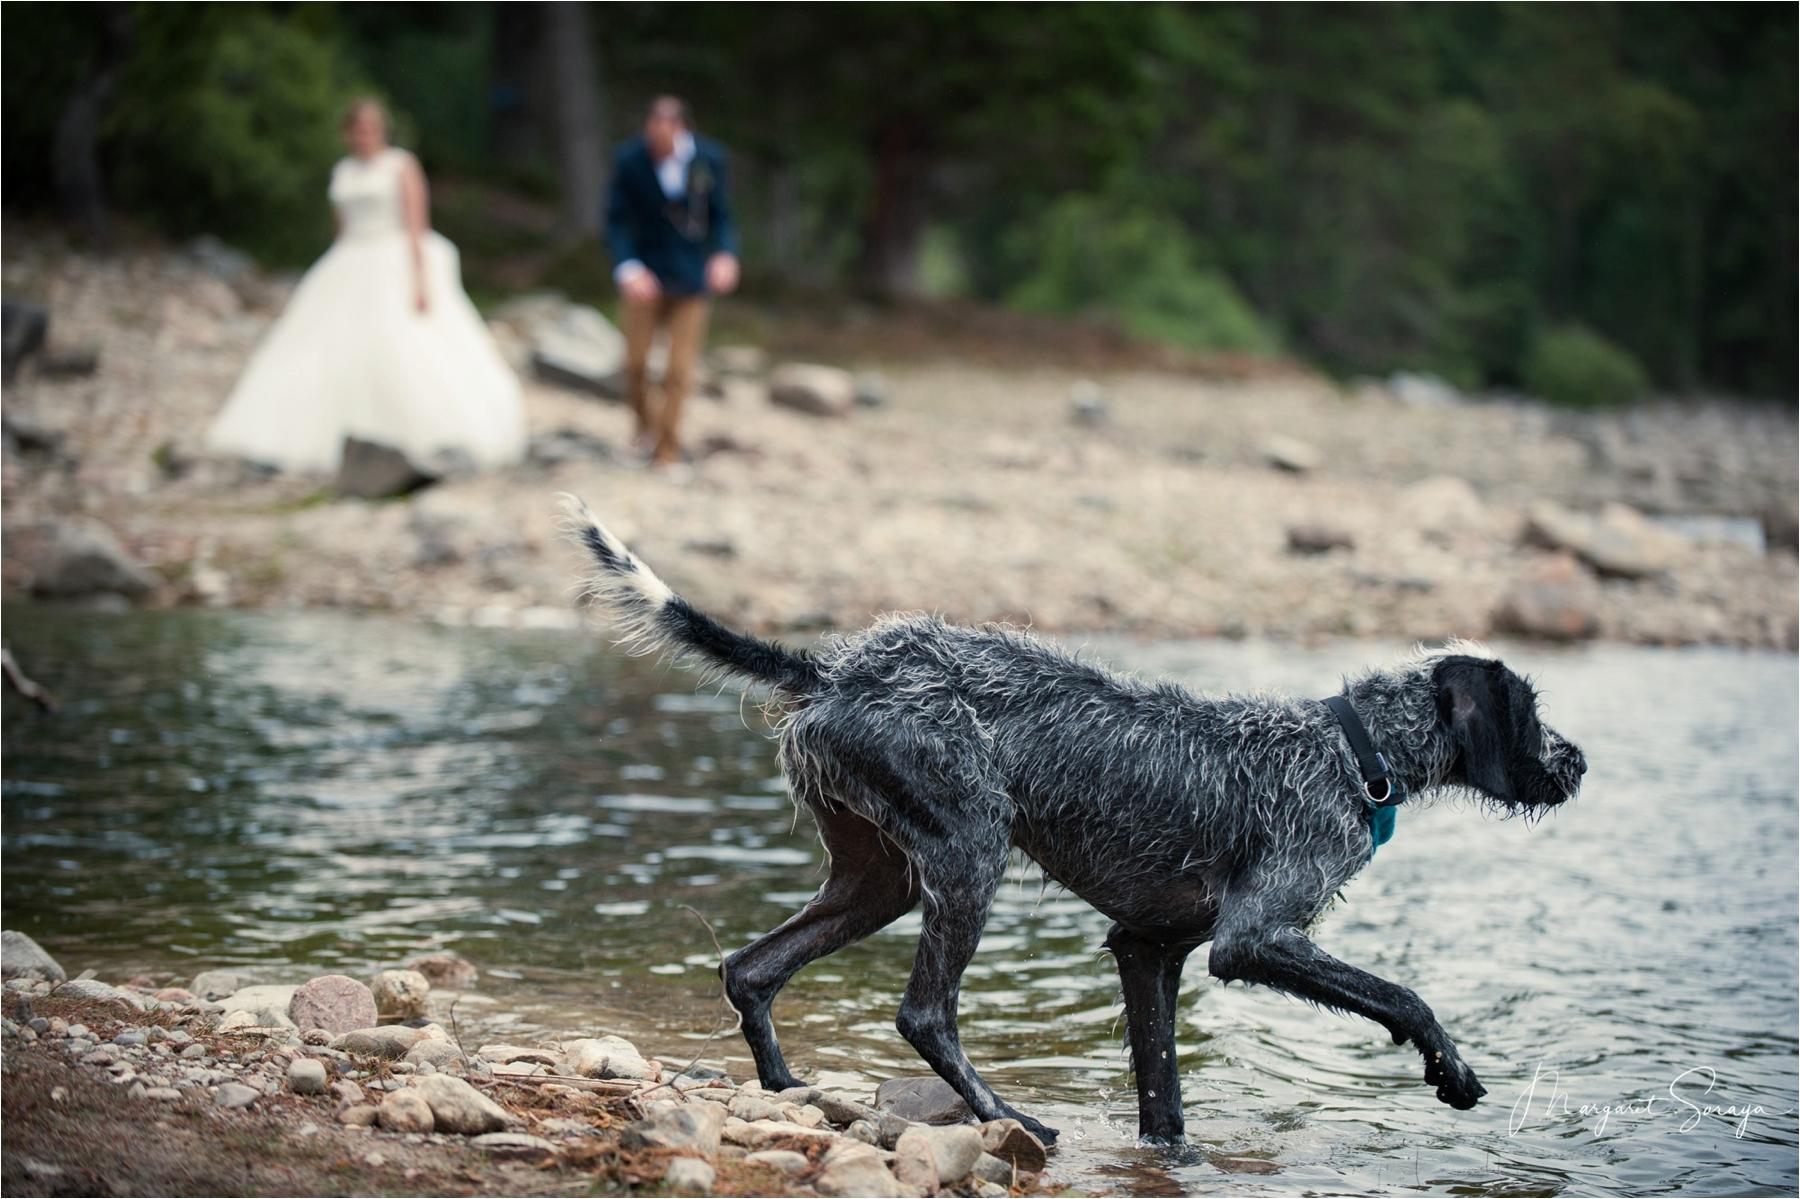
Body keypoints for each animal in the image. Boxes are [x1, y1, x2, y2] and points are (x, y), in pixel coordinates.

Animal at [565, 493, 1591, 1137]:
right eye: (1535, 710)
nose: (1579, 761)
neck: (1352, 752)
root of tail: (836, 669)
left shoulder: (1148, 950)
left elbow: (1164, 1100)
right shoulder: (1255, 939)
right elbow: (1403, 994)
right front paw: (1451, 1069)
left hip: (880, 879)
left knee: (751, 969)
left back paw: (788, 1091)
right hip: (970, 850)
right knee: (923, 1014)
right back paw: (1002, 1117)